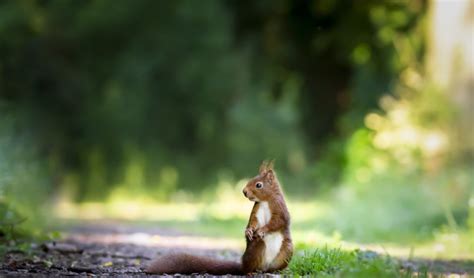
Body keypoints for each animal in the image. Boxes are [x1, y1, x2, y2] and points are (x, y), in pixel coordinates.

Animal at [144, 162, 292, 274]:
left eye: (258, 185)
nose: (244, 192)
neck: (265, 201)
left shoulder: (280, 209)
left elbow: (277, 222)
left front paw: (262, 230)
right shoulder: (256, 210)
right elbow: (253, 222)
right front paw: (249, 231)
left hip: (286, 251)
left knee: (273, 267)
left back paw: (275, 271)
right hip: (256, 249)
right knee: (248, 268)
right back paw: (250, 272)